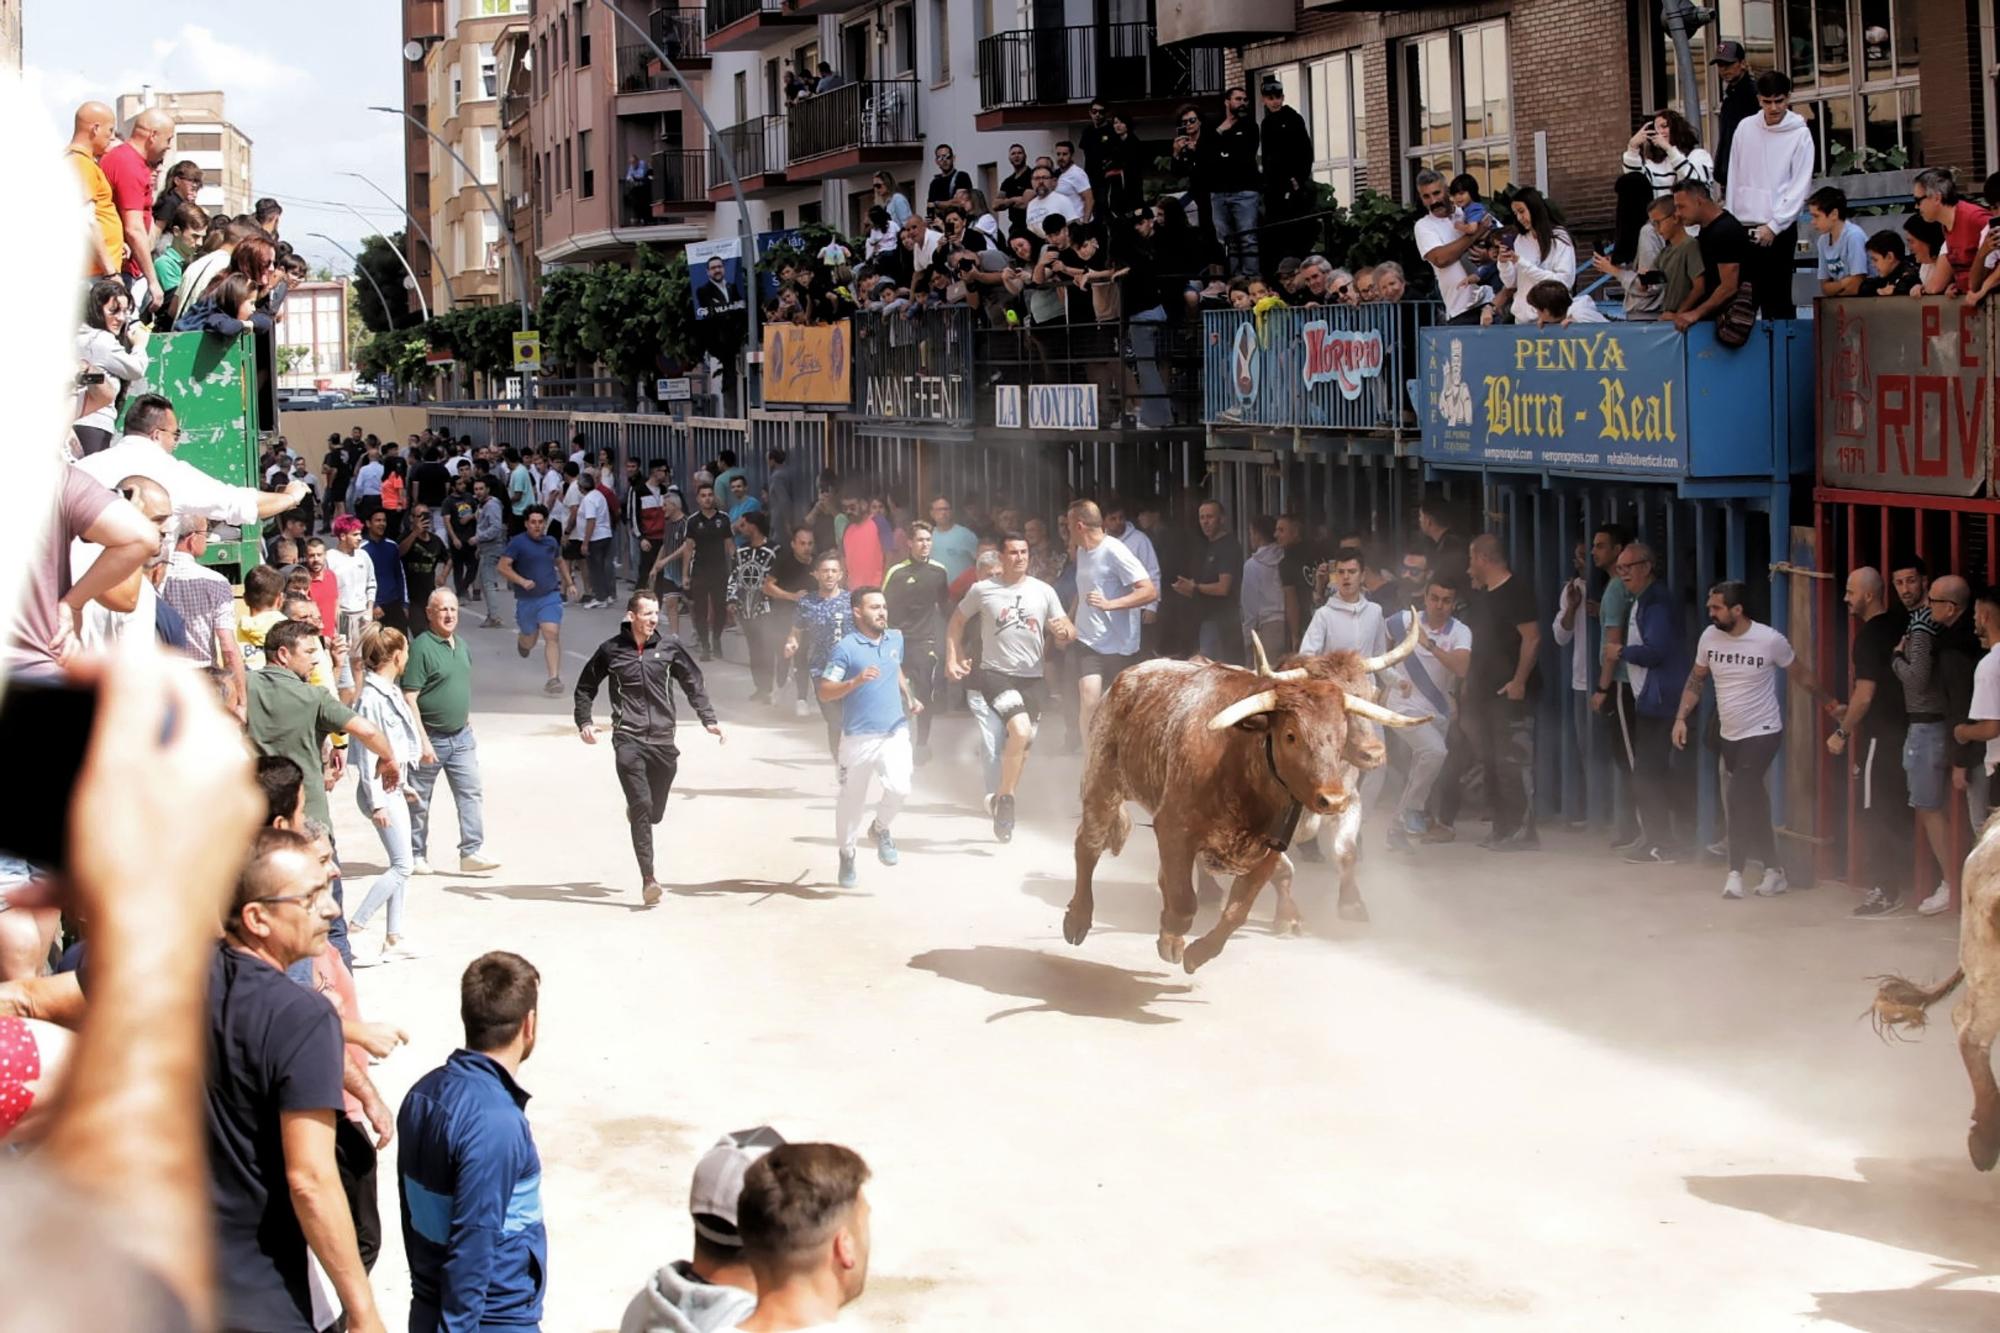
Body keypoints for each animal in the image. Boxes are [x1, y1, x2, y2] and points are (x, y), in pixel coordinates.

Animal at [1072, 624, 1432, 976]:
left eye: (1369, 696)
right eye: (1291, 735)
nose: (1374, 752)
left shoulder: (1342, 804)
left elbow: (1341, 855)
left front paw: (1351, 904)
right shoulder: (1175, 824)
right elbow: (1200, 896)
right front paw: (1288, 918)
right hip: (1102, 781)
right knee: (1089, 844)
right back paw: (1079, 918)